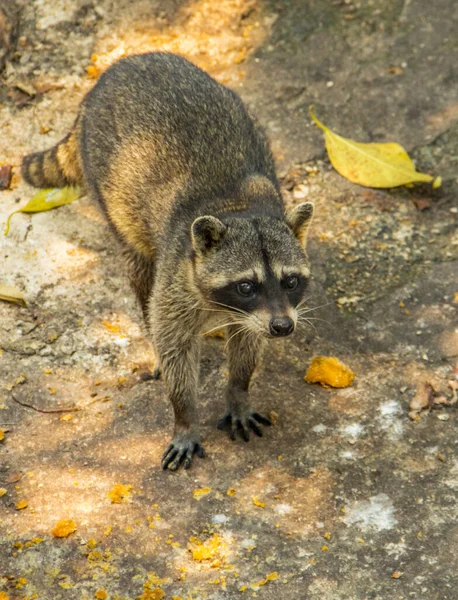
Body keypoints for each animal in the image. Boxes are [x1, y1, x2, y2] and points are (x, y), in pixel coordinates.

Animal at [22, 51, 314, 472]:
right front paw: (185, 416)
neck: (238, 209)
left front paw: (238, 390)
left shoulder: (257, 312)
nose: (283, 327)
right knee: (140, 268)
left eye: (290, 281)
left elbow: (246, 343)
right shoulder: (178, 278)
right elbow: (175, 347)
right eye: (246, 285)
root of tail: (115, 70)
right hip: (111, 189)